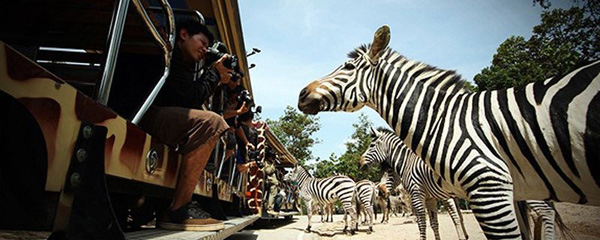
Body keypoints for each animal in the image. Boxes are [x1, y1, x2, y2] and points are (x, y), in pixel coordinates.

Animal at [298, 24, 596, 238]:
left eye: (348, 67)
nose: (301, 94)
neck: (443, 120)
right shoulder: (440, 197)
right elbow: (438, 224)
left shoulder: (485, 189)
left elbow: (425, 225)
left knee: (545, 215)